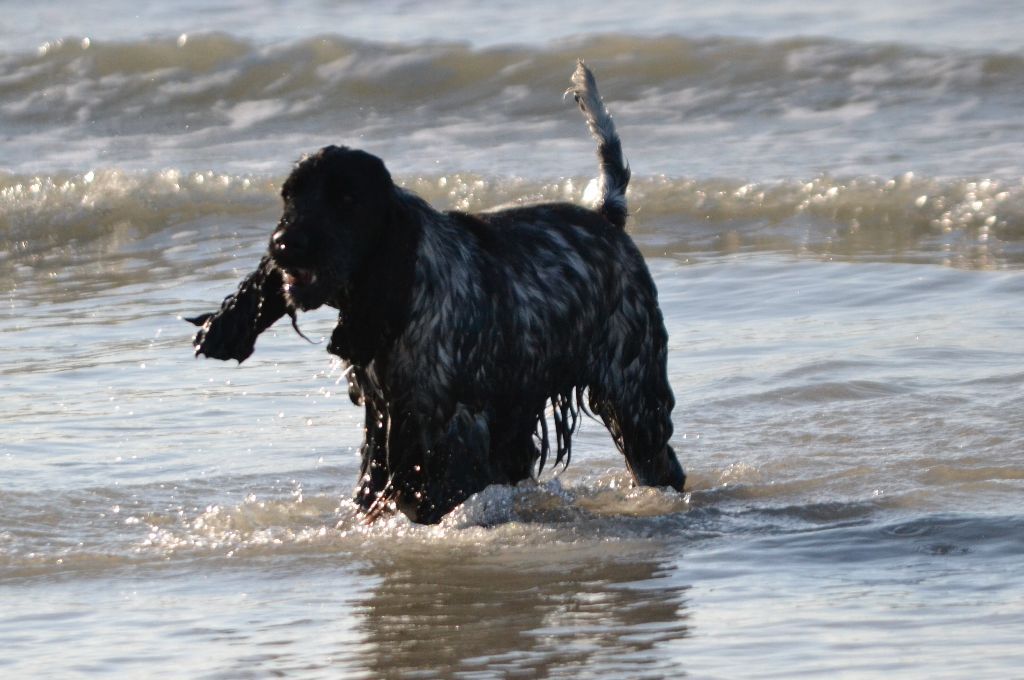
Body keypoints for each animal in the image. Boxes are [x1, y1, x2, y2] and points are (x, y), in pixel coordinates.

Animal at [192, 61, 688, 522]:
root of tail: (607, 216)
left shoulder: (451, 423)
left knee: (658, 462)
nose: (283, 245)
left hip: (633, 393)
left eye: (347, 200)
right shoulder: (386, 418)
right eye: (289, 196)